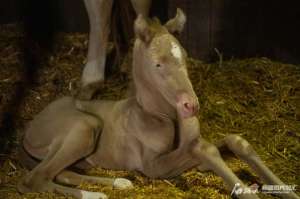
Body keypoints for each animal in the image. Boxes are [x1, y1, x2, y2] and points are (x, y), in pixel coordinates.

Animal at [18, 8, 298, 199]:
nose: (191, 106)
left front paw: (287, 191)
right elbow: (204, 149)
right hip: (85, 126)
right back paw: (95, 194)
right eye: (158, 65)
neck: (163, 116)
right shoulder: (153, 167)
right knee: (34, 179)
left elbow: (234, 141)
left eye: (185, 57)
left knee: (62, 172)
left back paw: (119, 183)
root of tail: (29, 129)